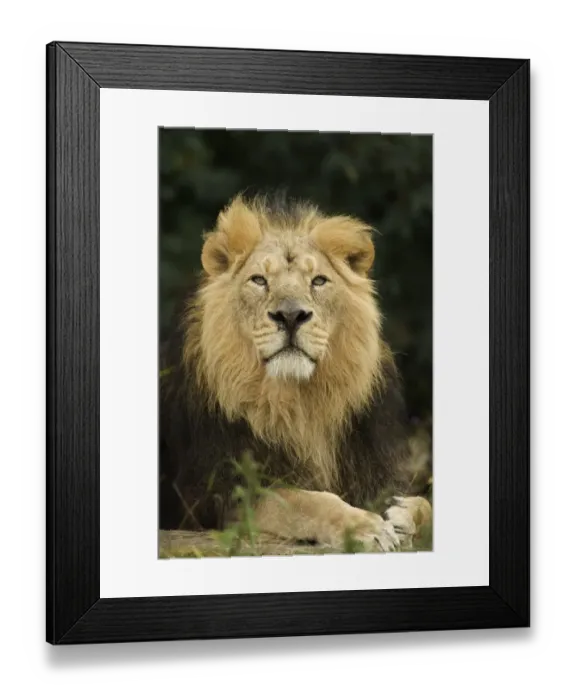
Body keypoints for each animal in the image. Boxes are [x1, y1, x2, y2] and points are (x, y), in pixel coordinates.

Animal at [159, 194, 432, 553]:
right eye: (259, 280)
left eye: (318, 281)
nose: (290, 316)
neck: (300, 405)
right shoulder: (222, 494)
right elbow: (307, 501)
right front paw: (363, 526)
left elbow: (426, 505)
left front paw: (402, 514)